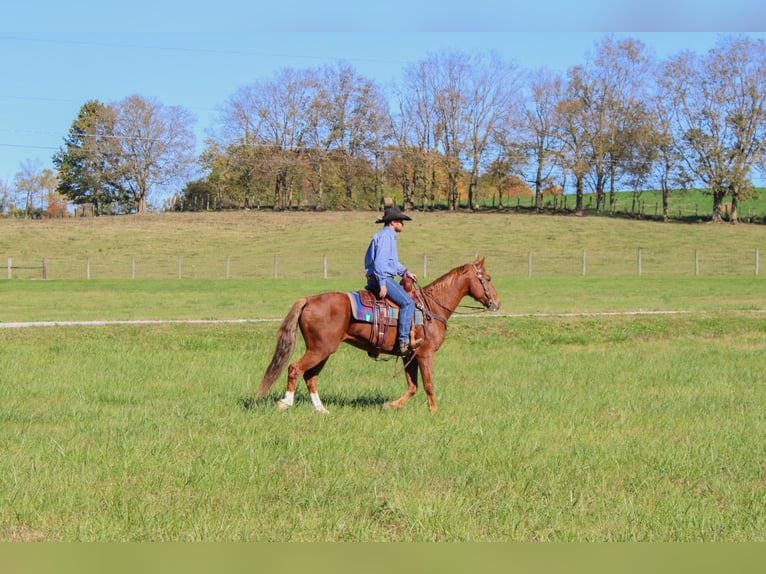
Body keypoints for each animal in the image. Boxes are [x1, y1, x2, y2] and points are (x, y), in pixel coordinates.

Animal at [255, 258, 500, 414]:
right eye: (487, 278)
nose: (497, 303)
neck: (431, 308)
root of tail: (309, 299)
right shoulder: (425, 354)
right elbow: (428, 384)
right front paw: (434, 410)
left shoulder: (408, 356)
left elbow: (413, 386)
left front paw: (390, 405)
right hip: (319, 350)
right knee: (295, 369)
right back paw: (285, 403)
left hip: (323, 351)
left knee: (310, 377)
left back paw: (321, 409)